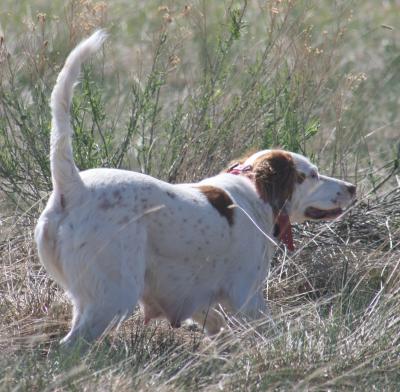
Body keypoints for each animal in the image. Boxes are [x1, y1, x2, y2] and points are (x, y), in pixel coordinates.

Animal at [33, 29, 354, 344]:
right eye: (312, 175)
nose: (352, 187)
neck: (255, 194)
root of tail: (75, 188)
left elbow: (214, 322)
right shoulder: (246, 296)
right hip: (113, 296)